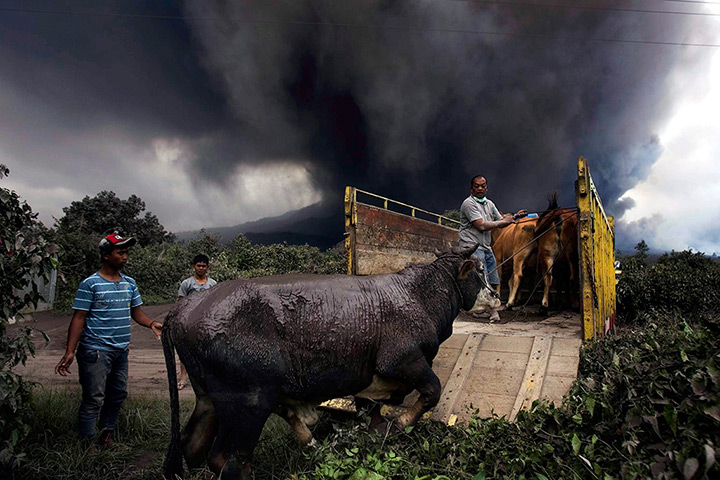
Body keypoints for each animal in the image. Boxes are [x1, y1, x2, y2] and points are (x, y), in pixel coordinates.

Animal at [163, 246, 500, 478]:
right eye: (479, 270)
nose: (496, 295)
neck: (420, 295)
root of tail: (184, 307)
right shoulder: (403, 361)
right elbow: (432, 390)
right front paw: (402, 423)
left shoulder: (370, 379)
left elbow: (371, 413)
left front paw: (378, 434)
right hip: (248, 403)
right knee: (228, 461)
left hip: (209, 400)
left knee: (192, 444)